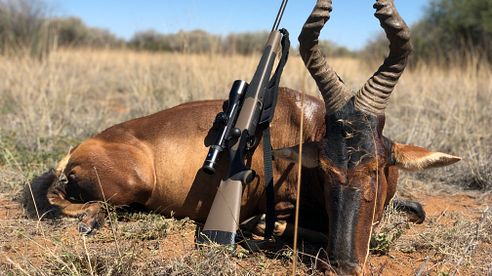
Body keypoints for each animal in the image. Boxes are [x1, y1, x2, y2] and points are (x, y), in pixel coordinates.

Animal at [25, 0, 460, 274]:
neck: (308, 123)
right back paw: (89, 221)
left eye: (376, 167)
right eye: (325, 169)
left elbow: (416, 209)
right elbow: (278, 225)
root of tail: (77, 149)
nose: (346, 265)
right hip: (133, 183)